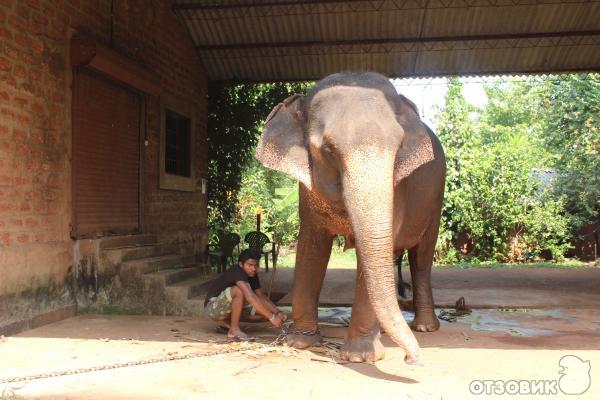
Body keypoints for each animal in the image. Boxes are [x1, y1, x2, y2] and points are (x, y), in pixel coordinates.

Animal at [253, 71, 446, 362]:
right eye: (329, 150)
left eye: (399, 147)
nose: (411, 358)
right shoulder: (307, 192)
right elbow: (311, 248)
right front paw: (299, 343)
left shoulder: (398, 188)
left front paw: (360, 357)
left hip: (435, 201)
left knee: (421, 258)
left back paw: (423, 328)